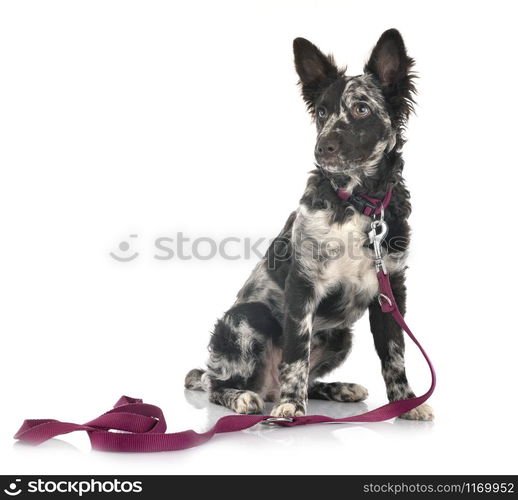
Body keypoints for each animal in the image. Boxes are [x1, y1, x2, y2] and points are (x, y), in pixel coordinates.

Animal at [186, 26, 434, 418]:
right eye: (321, 112)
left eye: (361, 108)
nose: (322, 148)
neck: (357, 205)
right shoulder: (302, 286)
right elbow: (296, 356)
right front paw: (291, 407)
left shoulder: (390, 289)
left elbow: (394, 355)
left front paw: (406, 403)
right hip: (248, 317)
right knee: (216, 384)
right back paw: (246, 397)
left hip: (341, 336)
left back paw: (339, 389)